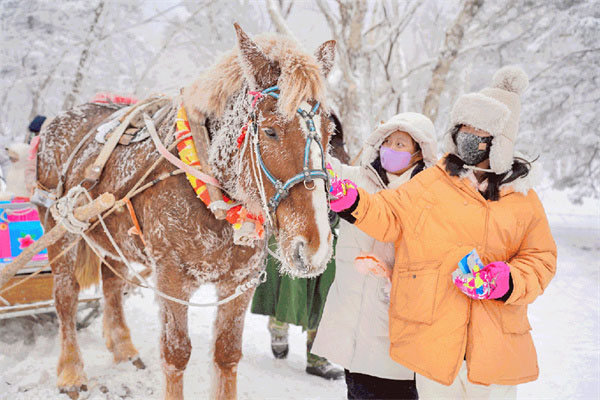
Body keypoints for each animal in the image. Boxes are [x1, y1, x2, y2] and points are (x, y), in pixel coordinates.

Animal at [36, 23, 338, 398]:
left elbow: (226, 353)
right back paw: (71, 371)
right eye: (270, 131)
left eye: (329, 132)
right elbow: (176, 353)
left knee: (112, 285)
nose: (315, 246)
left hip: (113, 236)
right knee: (66, 296)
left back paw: (124, 349)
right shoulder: (171, 277)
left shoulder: (241, 281)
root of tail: (58, 119)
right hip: (59, 227)